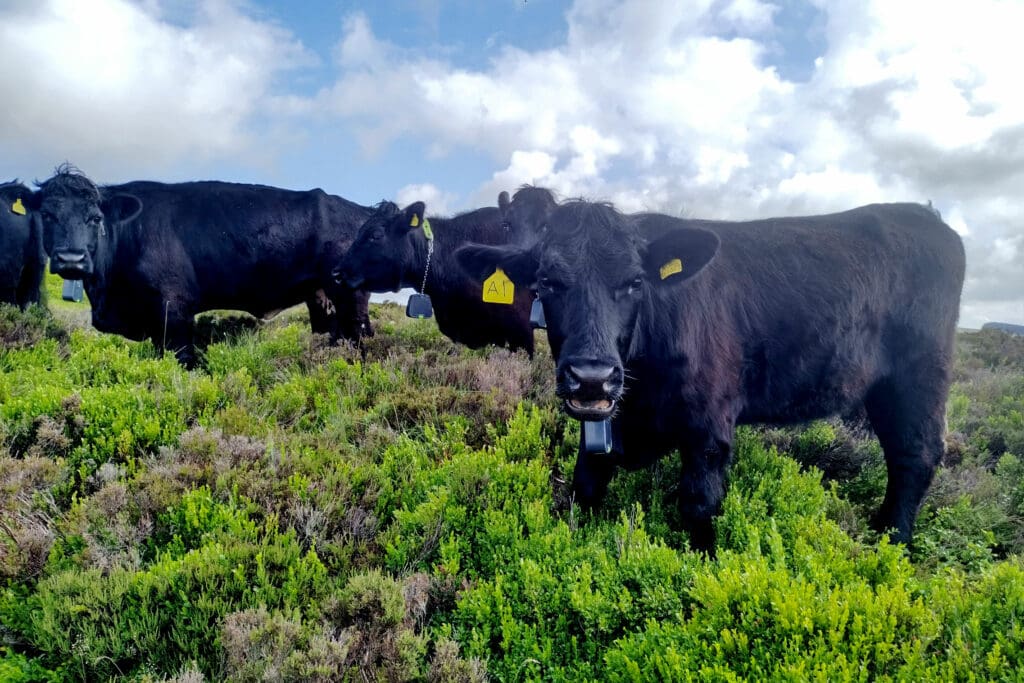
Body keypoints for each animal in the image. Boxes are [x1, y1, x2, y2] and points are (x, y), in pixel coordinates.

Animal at [30, 165, 376, 366]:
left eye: (94, 218)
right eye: (46, 215)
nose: (71, 258)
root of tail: (362, 210)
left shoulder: (174, 310)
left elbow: (183, 359)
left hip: (350, 298)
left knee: (360, 337)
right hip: (320, 296)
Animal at [460, 194, 962, 552]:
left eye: (635, 282)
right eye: (546, 281)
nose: (591, 376)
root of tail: (925, 215)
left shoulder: (709, 430)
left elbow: (699, 506)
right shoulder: (602, 426)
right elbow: (585, 487)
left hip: (918, 378)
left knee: (915, 454)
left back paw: (892, 542)